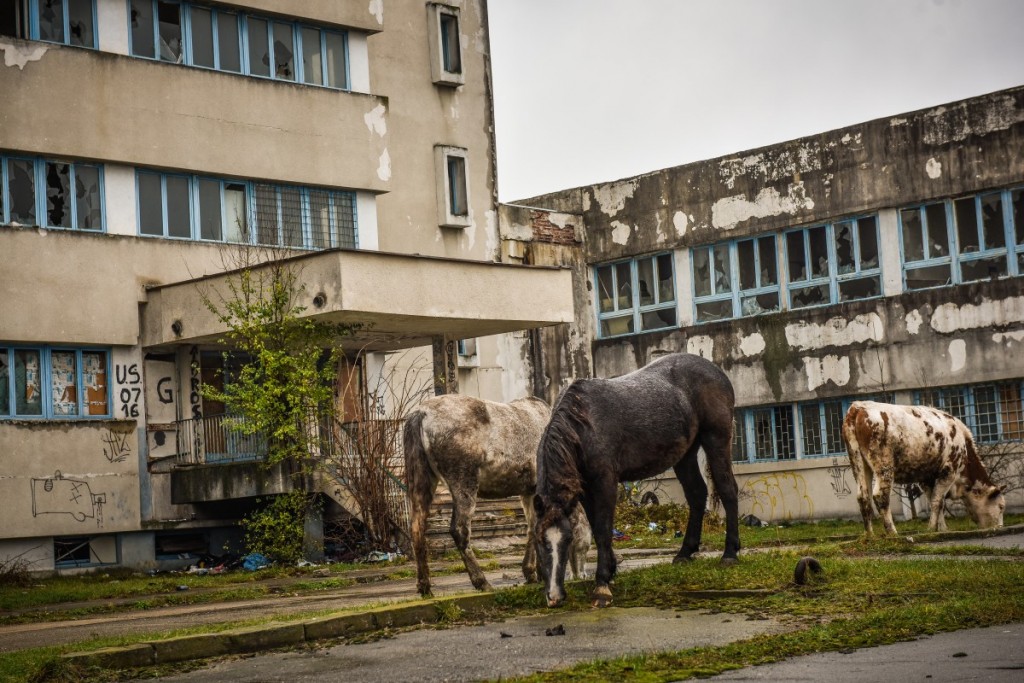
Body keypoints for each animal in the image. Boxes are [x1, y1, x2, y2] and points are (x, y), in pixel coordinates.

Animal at [532, 352, 741, 610]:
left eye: (568, 539)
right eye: (539, 540)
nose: (554, 596)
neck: (583, 424)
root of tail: (716, 372)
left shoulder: (605, 482)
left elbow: (603, 529)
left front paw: (602, 585)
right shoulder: (585, 489)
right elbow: (596, 527)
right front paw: (610, 569)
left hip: (716, 439)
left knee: (727, 489)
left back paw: (730, 553)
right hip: (685, 454)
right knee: (696, 494)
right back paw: (685, 552)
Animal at [843, 397, 1003, 536]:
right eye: (1001, 507)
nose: (999, 527)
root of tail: (858, 407)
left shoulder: (927, 478)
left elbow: (936, 502)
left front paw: (942, 529)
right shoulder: (948, 472)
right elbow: (938, 502)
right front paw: (932, 528)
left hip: (858, 463)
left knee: (863, 496)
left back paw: (870, 535)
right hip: (884, 466)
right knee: (880, 496)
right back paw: (892, 533)